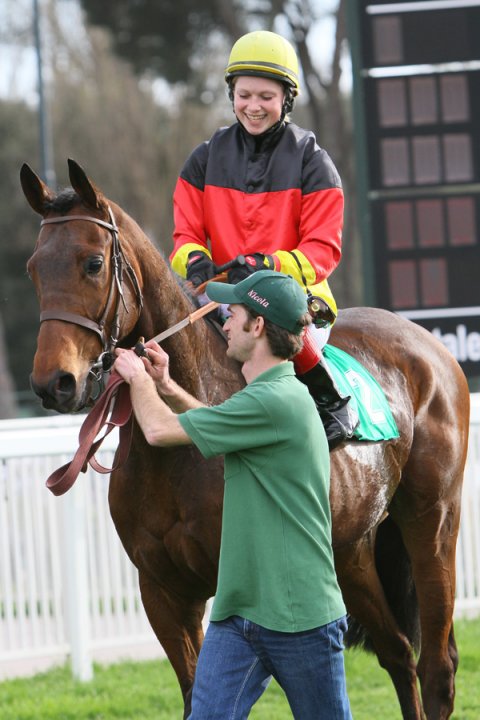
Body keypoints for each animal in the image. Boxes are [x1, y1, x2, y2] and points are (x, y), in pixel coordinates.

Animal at [21, 159, 470, 720]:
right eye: (34, 268)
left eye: (93, 262)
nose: (54, 383)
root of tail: (428, 345)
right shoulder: (163, 591)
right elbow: (197, 695)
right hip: (351, 550)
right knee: (397, 652)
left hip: (432, 519)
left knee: (437, 666)